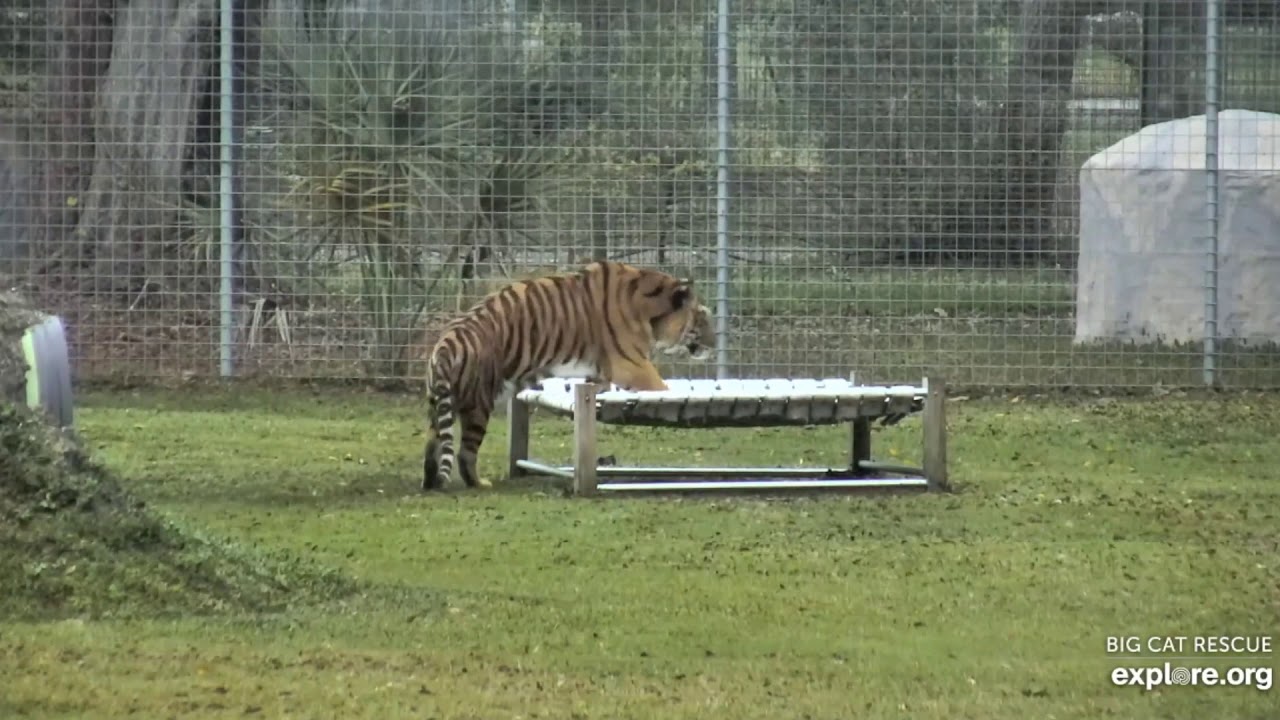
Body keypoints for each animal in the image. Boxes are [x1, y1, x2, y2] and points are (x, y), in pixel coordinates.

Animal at [422, 261, 716, 491]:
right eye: (702, 319)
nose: (714, 345)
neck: (647, 309)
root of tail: (444, 345)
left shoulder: (605, 371)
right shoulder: (633, 366)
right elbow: (663, 388)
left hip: (438, 405)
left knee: (433, 447)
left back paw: (431, 482)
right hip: (478, 404)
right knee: (465, 453)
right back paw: (478, 483)